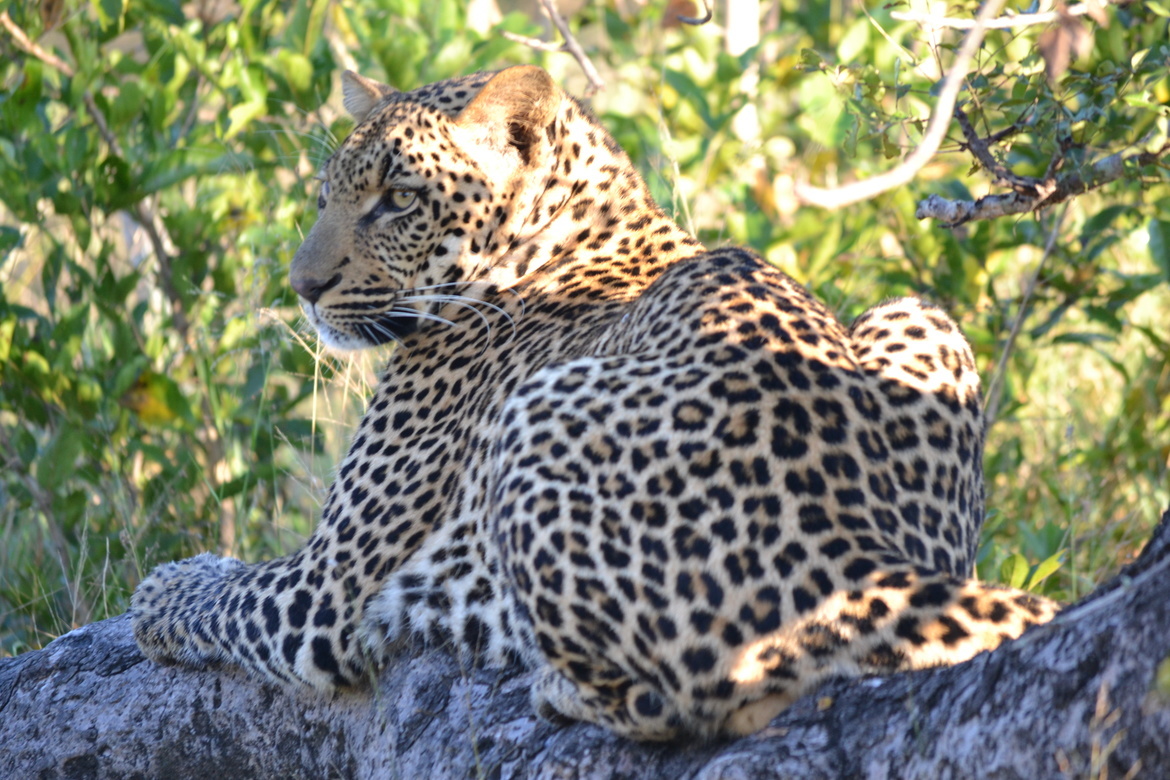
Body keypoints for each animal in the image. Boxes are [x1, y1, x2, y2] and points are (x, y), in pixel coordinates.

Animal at [131, 64, 1059, 741]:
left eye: (397, 199)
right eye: (327, 194)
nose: (302, 289)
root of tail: (849, 547)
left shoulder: (324, 591)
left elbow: (221, 596)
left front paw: (162, 587)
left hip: (536, 414)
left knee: (685, 700)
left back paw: (554, 688)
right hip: (920, 315)